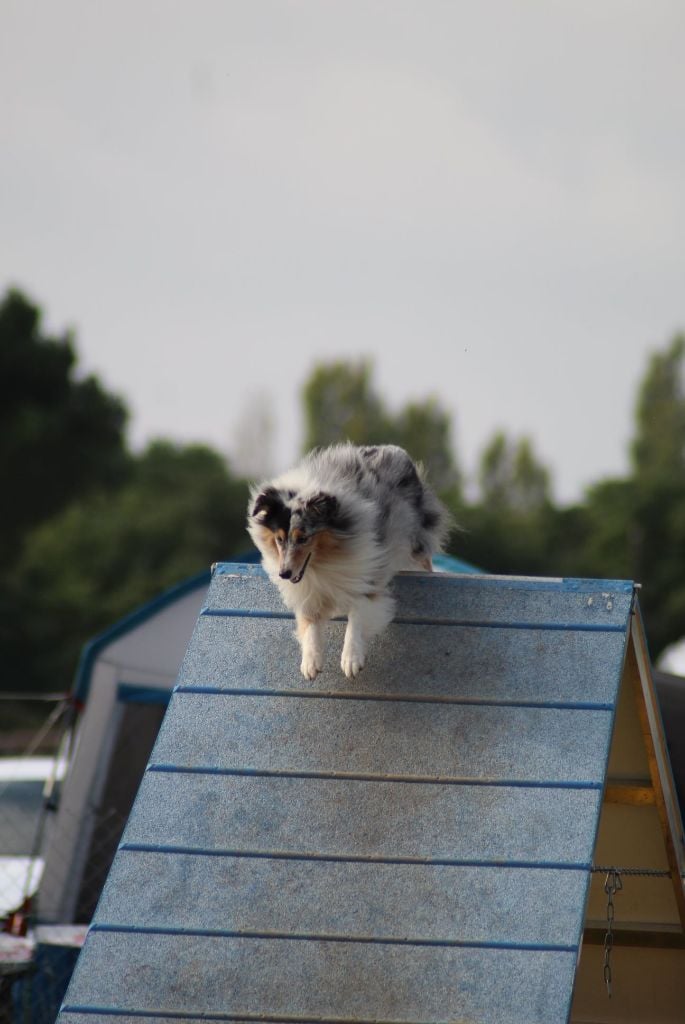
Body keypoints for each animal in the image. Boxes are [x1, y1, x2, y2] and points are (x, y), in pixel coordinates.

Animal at [248, 442, 450, 675]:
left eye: (303, 538)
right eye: (279, 539)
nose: (284, 573)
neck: (325, 559)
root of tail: (392, 448)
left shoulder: (367, 572)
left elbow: (358, 614)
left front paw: (351, 660)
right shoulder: (309, 591)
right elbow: (310, 623)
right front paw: (311, 662)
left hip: (415, 540)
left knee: (423, 561)